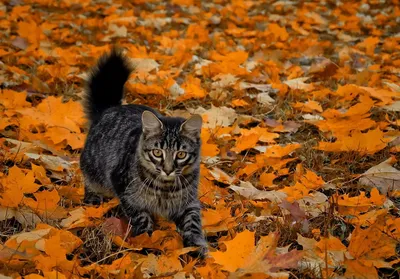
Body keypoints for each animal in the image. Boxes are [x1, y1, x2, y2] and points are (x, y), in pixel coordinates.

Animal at [79, 49, 208, 260]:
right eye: (157, 152)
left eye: (181, 155)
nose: (168, 170)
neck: (165, 188)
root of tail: (110, 109)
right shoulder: (126, 191)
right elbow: (142, 218)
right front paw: (148, 242)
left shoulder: (189, 203)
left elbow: (193, 225)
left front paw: (198, 247)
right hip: (94, 169)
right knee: (90, 182)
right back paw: (93, 199)